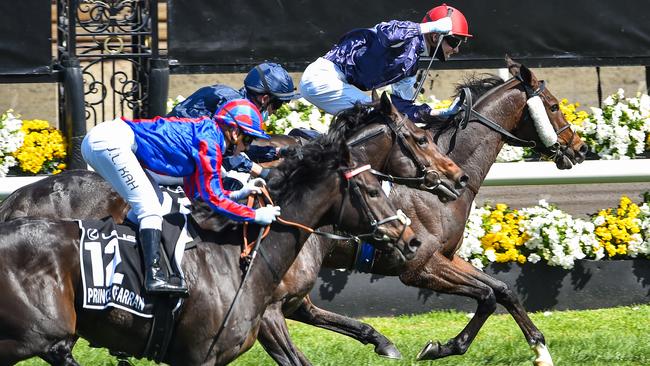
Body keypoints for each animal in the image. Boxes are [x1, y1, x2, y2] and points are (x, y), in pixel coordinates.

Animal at [0, 130, 422, 364]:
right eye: (372, 190)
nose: (412, 238)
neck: (238, 256)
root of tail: (16, 199)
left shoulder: (291, 305)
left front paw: (385, 344)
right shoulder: (250, 327)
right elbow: (295, 358)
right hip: (41, 334)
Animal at [251, 58, 584, 364]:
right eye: (554, 106)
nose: (580, 148)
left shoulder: (445, 256)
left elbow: (503, 289)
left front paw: (540, 350)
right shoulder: (419, 267)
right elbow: (487, 296)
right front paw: (441, 348)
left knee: (301, 309)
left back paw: (379, 340)